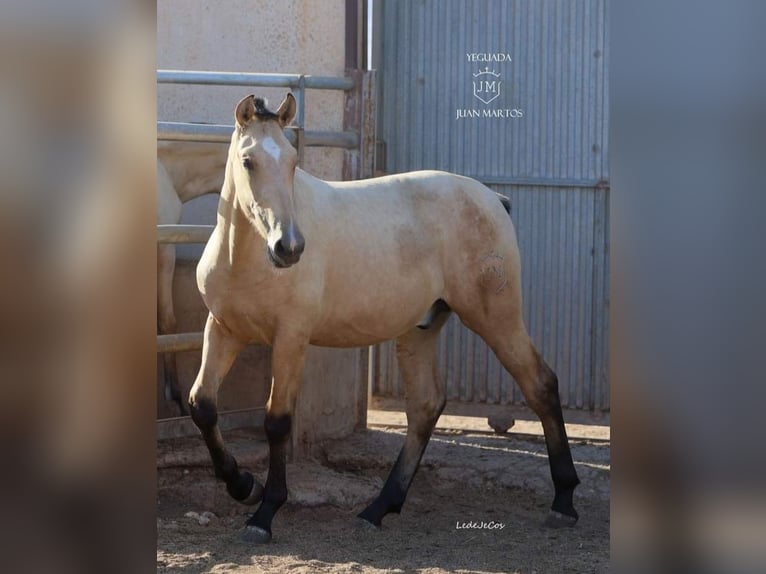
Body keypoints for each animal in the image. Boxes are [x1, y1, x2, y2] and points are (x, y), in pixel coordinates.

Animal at [188, 94, 584, 544]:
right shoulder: (223, 330)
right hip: (419, 330)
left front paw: (264, 513)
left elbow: (276, 422)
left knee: (541, 384)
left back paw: (563, 502)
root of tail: (492, 199)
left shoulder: (291, 339)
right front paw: (242, 485)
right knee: (426, 406)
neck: (245, 258)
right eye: (248, 160)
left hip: (497, 318)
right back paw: (378, 507)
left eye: (292, 160)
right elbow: (202, 406)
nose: (288, 247)